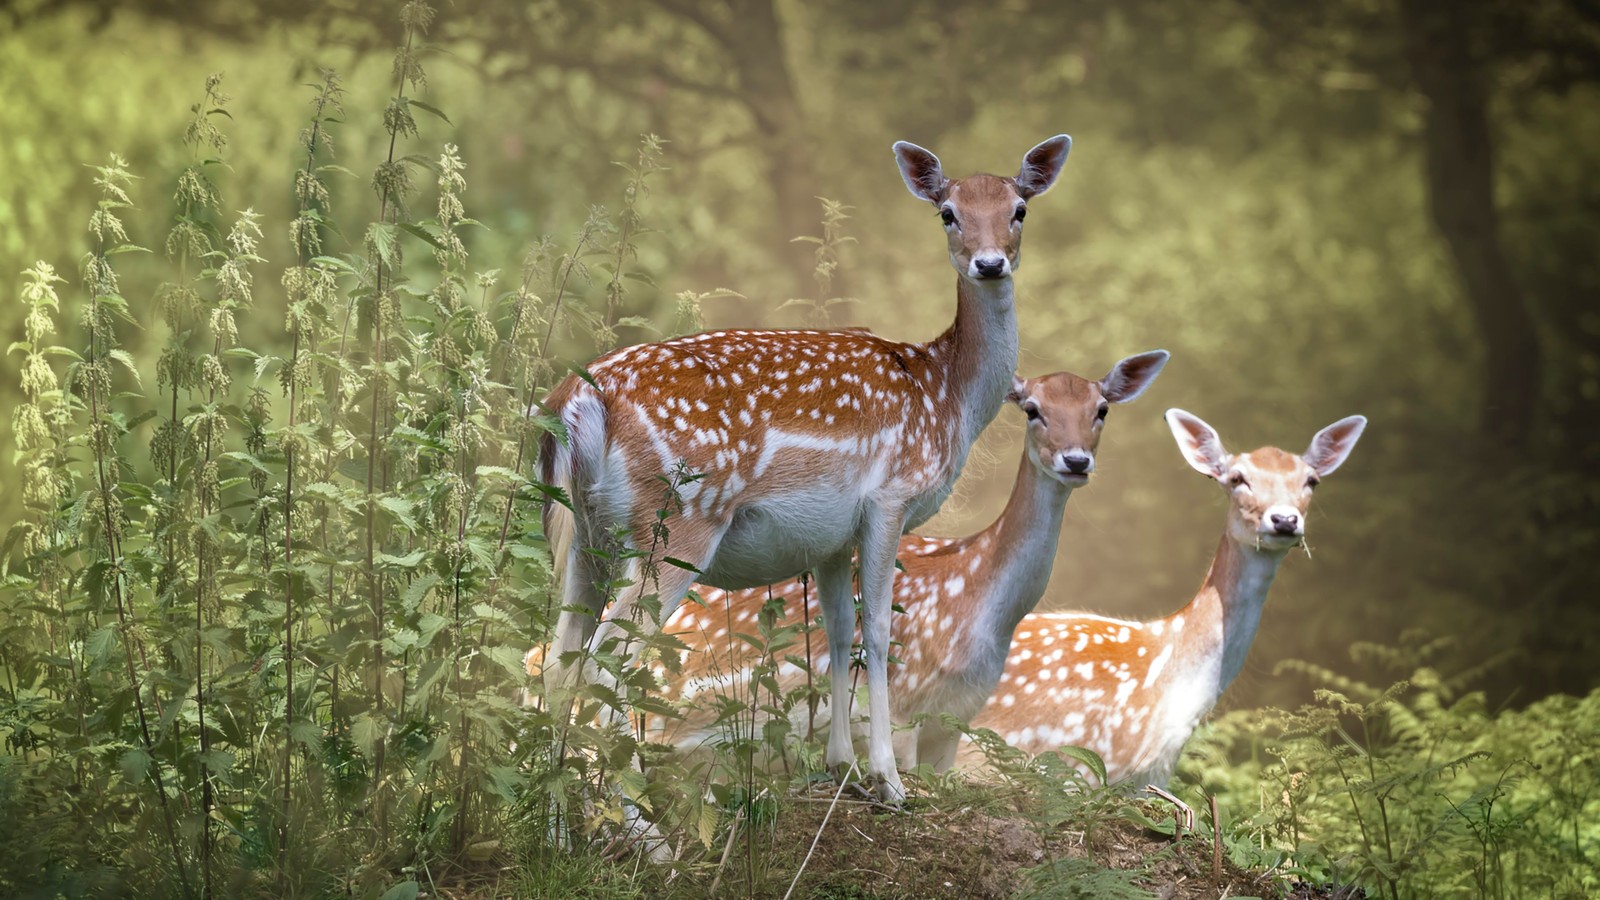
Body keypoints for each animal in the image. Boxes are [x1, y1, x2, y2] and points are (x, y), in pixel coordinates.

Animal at [537, 134, 1075, 797]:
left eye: (1018, 209)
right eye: (947, 212)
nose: (991, 263)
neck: (946, 394)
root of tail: (579, 399)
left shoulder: (829, 536)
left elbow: (840, 632)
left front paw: (840, 764)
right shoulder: (890, 497)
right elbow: (878, 634)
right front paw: (888, 780)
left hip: (585, 533)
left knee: (559, 663)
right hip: (678, 521)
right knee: (603, 665)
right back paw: (639, 817)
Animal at [643, 352, 1171, 771]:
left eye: (1101, 409)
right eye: (1033, 410)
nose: (1075, 461)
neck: (982, 614)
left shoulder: (956, 719)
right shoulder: (902, 708)